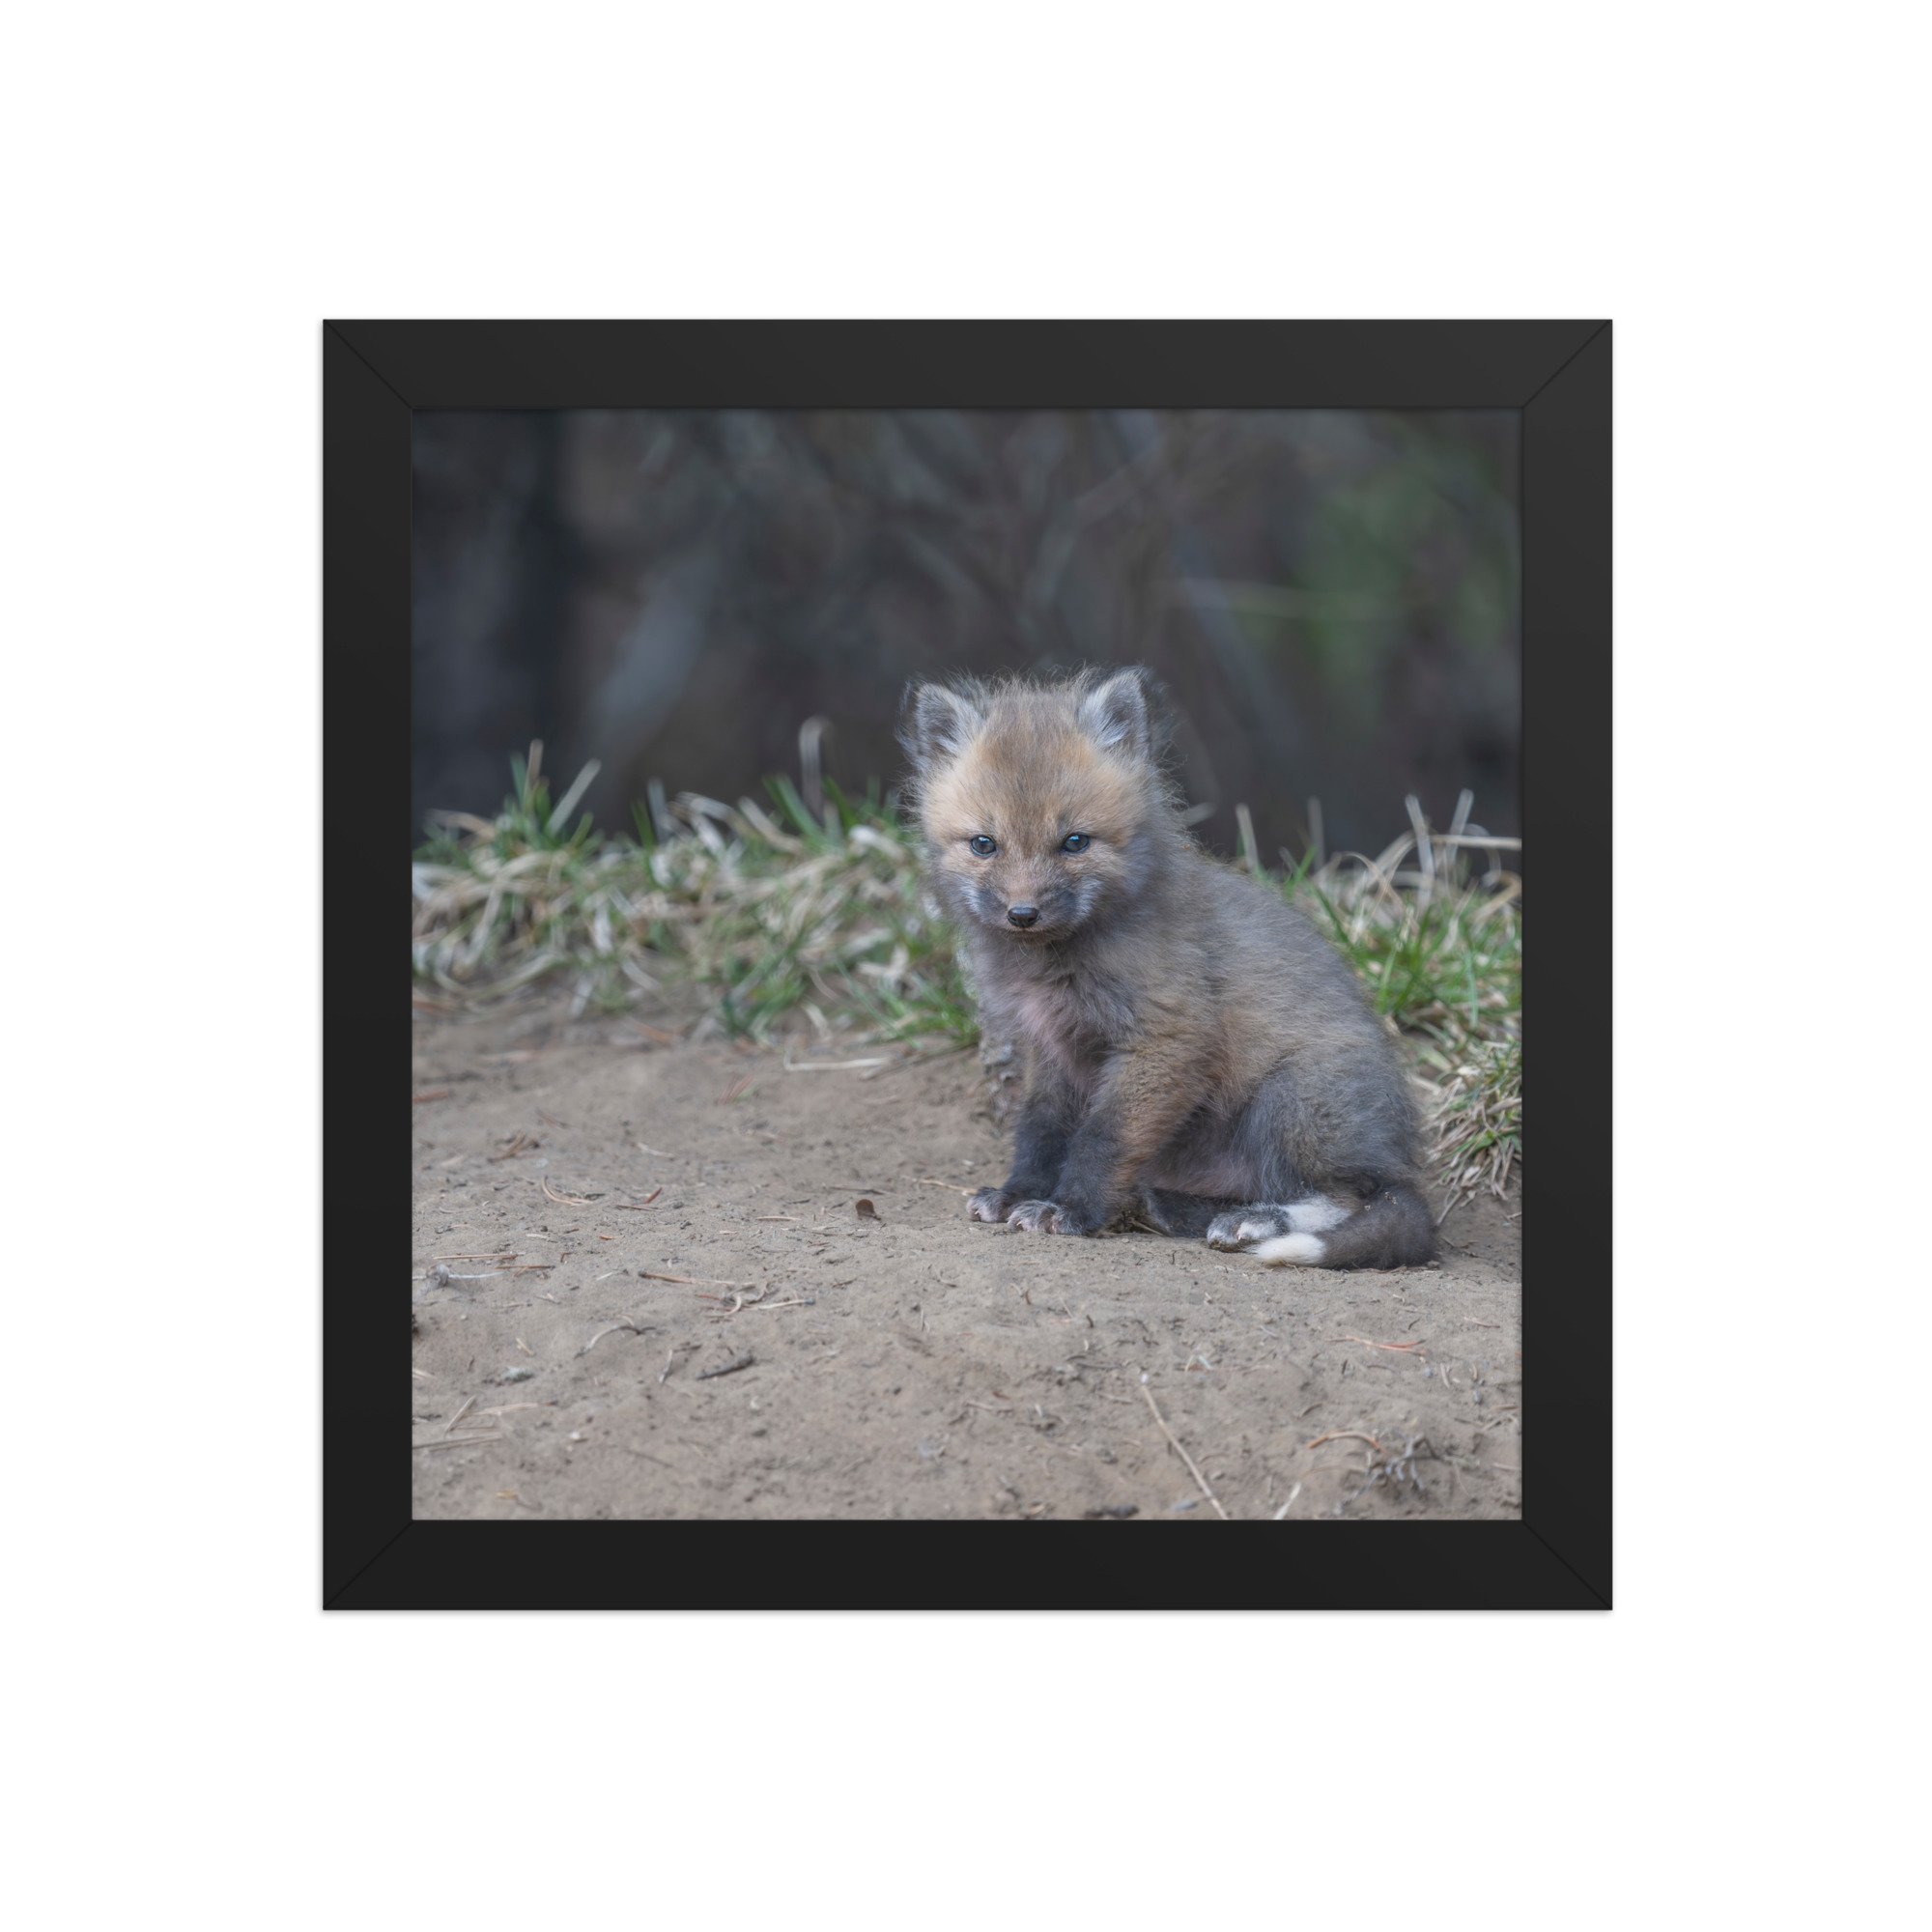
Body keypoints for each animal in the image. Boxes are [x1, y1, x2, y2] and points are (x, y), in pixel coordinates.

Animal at [898, 666, 1435, 1270]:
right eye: (984, 844)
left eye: (1074, 842)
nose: (1023, 914)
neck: (1054, 965)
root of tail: (1399, 1157)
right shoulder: (1051, 1050)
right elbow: (1040, 1132)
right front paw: (1019, 1193)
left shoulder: (1166, 1038)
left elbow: (1102, 1138)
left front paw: (1071, 1210)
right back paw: (1173, 1207)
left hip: (1291, 1100)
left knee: (1352, 1197)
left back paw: (1256, 1221)